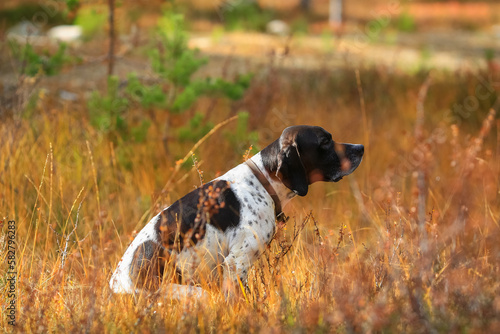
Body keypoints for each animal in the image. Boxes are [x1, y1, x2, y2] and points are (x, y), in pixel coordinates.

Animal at [109, 125, 364, 300]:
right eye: (325, 142)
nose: (360, 148)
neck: (263, 181)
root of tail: (116, 288)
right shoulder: (236, 263)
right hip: (194, 293)